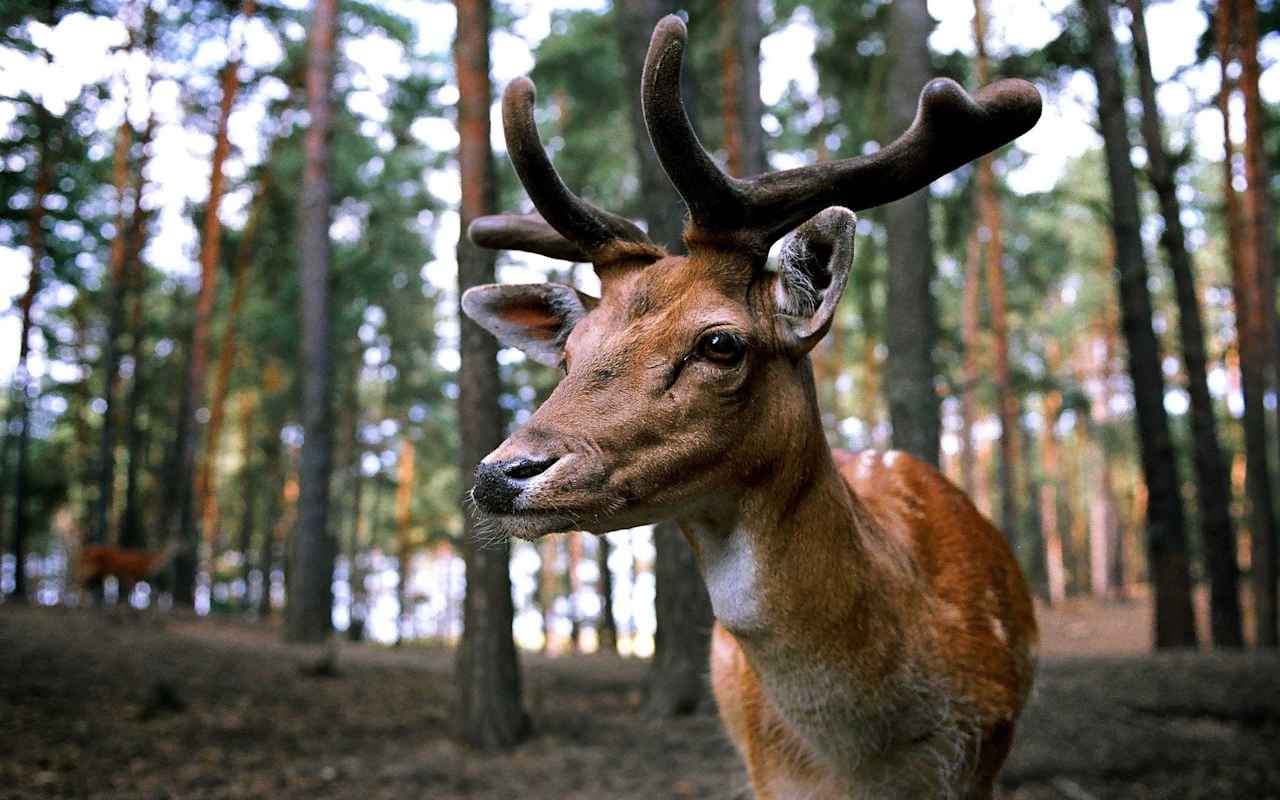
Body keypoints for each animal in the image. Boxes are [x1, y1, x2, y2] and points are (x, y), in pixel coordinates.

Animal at [461, 15, 1040, 800]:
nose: (501, 473)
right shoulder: (767, 775)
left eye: (720, 342)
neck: (868, 762)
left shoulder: (985, 757)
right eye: (567, 354)